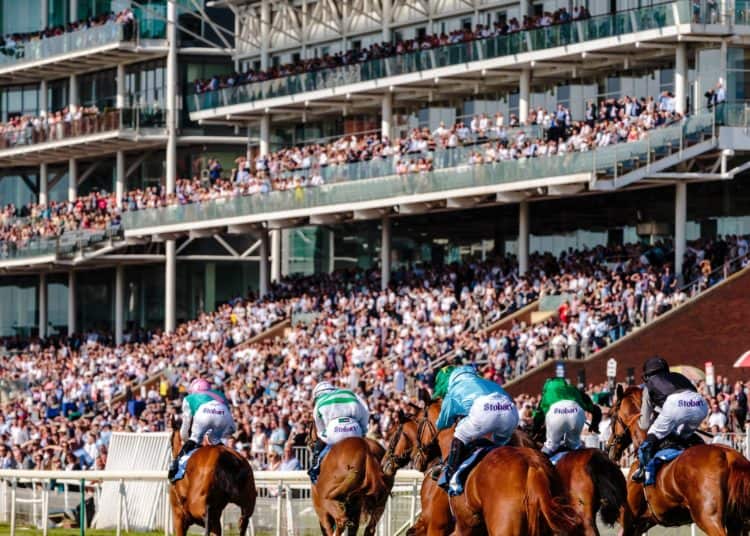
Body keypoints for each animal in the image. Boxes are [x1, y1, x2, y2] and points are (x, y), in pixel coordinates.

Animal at [608, 386, 750, 536]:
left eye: (612, 416)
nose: (608, 448)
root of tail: (729, 456)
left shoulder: (629, 518)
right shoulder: (646, 520)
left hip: (707, 517)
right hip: (734, 520)